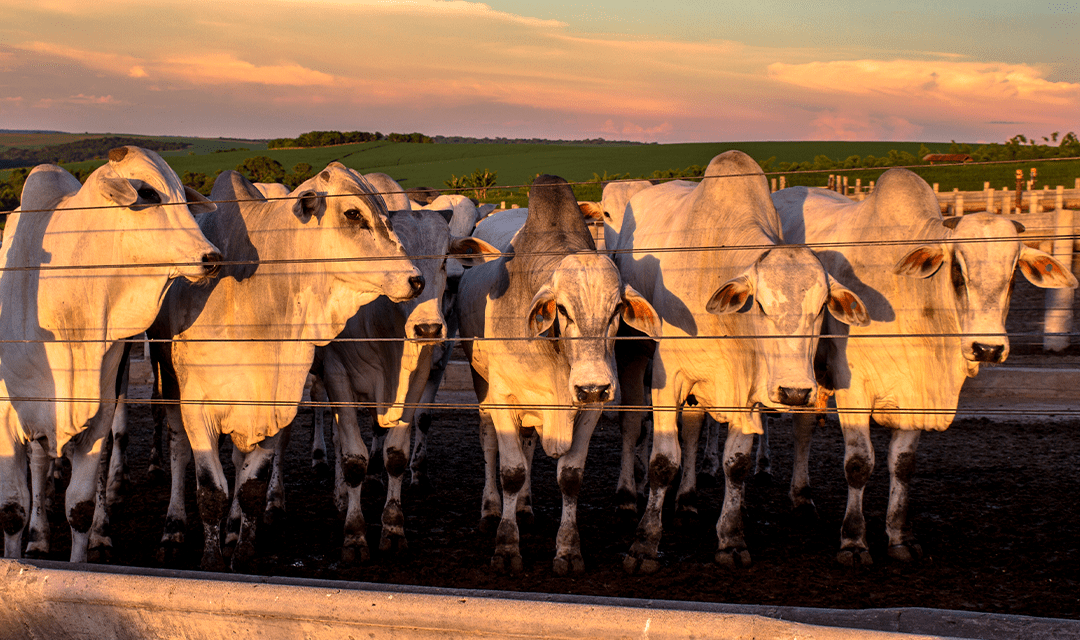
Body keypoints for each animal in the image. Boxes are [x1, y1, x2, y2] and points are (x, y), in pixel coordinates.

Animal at [0, 148, 219, 561]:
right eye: (147, 193)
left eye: (183, 195)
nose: (211, 257)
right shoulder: (8, 420)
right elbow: (12, 511)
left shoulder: (98, 414)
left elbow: (80, 507)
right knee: (39, 466)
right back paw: (38, 534)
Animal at [152, 162, 421, 569]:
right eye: (353, 213)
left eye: (385, 213)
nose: (416, 279)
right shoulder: (196, 405)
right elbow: (210, 490)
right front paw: (211, 561)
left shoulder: (273, 401)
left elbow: (250, 486)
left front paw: (244, 550)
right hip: (167, 381)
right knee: (178, 449)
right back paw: (173, 530)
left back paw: (232, 529)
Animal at [455, 173, 656, 574]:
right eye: (562, 309)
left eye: (616, 310)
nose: (592, 384)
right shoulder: (503, 399)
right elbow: (511, 471)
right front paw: (506, 546)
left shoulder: (590, 408)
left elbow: (570, 476)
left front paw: (567, 549)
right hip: (481, 383)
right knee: (489, 441)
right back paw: (492, 509)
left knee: (529, 443)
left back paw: (525, 507)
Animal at [613, 152, 872, 569]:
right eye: (761, 305)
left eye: (821, 308)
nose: (795, 392)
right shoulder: (670, 377)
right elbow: (662, 461)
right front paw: (644, 543)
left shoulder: (744, 390)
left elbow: (735, 463)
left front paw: (731, 538)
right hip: (633, 351)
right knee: (632, 422)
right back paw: (626, 498)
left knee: (692, 430)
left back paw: (686, 502)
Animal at [773, 169, 1075, 565]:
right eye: (958, 270)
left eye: (1013, 275)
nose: (988, 348)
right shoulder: (852, 387)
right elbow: (858, 464)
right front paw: (853, 541)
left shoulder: (917, 394)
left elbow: (902, 464)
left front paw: (900, 537)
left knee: (804, 425)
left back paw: (802, 498)